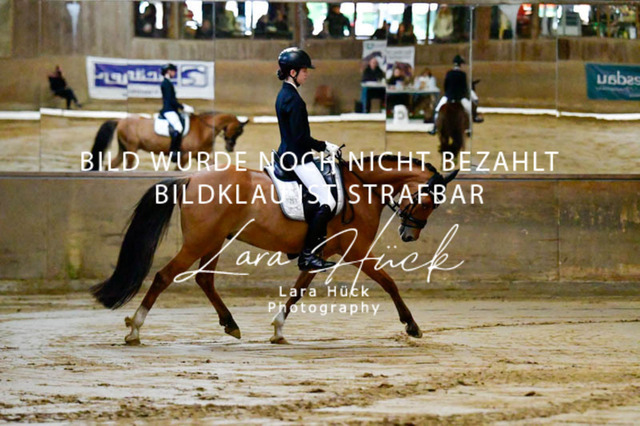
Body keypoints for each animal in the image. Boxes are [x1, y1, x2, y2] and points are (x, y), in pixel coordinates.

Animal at [88, 112, 248, 171]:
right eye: (238, 131)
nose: (230, 148)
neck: (203, 129)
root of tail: (120, 120)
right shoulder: (185, 156)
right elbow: (178, 171)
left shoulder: (203, 156)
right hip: (131, 150)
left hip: (124, 149)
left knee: (110, 165)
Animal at [90, 154, 458, 345]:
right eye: (429, 201)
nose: (409, 235)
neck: (360, 187)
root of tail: (192, 177)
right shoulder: (356, 252)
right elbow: (390, 282)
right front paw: (411, 325)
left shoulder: (319, 254)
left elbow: (298, 290)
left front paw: (279, 329)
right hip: (200, 242)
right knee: (164, 277)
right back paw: (135, 329)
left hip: (214, 241)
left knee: (204, 280)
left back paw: (230, 324)